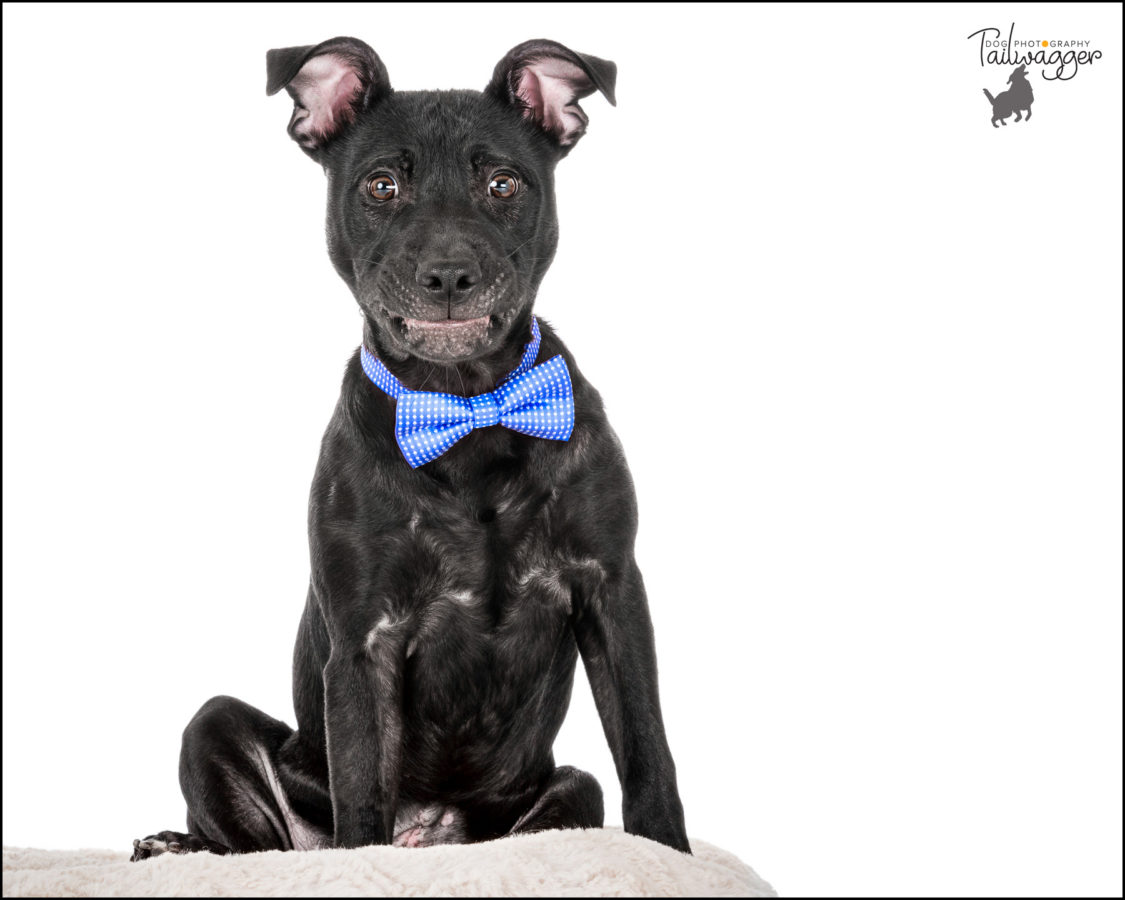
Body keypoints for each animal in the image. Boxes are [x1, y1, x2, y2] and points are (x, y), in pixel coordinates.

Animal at [136, 36, 688, 864]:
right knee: (259, 844)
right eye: (382, 184)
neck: (465, 407)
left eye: (502, 183)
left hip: (565, 788)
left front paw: (670, 854)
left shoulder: (611, 591)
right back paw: (178, 846)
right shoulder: (365, 636)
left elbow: (648, 749)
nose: (449, 273)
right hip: (219, 726)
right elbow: (363, 787)